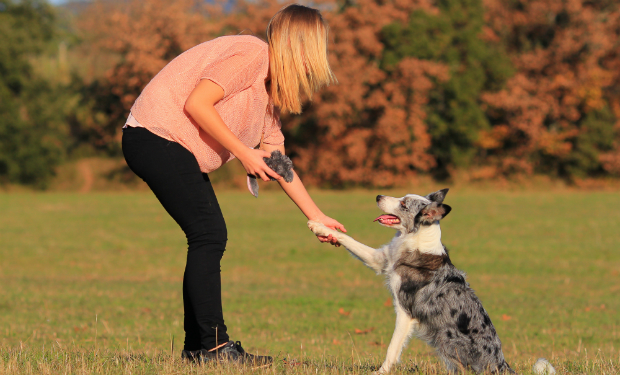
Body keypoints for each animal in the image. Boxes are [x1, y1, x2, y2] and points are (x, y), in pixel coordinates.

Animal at [306, 191, 520, 375]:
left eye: (404, 204)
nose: (378, 196)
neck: (415, 239)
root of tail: (501, 364)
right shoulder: (379, 259)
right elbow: (347, 238)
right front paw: (319, 226)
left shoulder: (405, 311)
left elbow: (393, 347)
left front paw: (381, 372)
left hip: (447, 340)